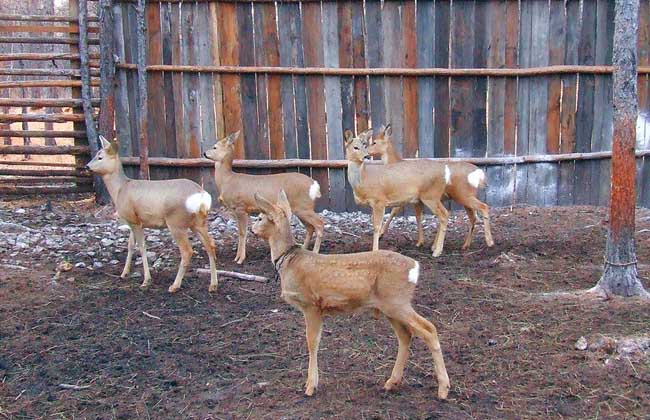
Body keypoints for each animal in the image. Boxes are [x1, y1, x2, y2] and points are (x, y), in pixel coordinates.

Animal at [86, 136, 219, 294]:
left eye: (100, 157)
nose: (87, 166)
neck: (120, 189)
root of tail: (202, 196)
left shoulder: (135, 222)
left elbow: (142, 248)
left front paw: (146, 281)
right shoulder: (133, 220)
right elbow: (130, 245)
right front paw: (124, 273)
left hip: (176, 222)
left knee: (187, 251)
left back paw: (174, 285)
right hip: (198, 222)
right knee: (210, 244)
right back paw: (213, 285)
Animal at [204, 131, 322, 262]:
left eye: (215, 147)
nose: (204, 153)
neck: (227, 180)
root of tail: (314, 185)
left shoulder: (240, 207)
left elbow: (242, 233)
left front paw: (240, 259)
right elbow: (241, 232)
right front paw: (237, 257)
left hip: (304, 206)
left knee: (319, 224)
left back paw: (315, 251)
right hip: (300, 208)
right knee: (310, 227)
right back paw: (304, 248)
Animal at [251, 190, 448, 400]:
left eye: (260, 217)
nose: (252, 229)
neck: (289, 262)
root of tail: (415, 267)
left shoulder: (311, 304)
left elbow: (312, 341)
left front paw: (310, 386)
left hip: (397, 301)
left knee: (428, 329)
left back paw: (443, 388)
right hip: (389, 306)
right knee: (406, 335)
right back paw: (391, 383)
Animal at [368, 124, 494, 253]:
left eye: (374, 142)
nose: (367, 154)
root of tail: (479, 174)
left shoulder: (405, 196)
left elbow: (396, 212)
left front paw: (382, 234)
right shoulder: (415, 199)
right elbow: (418, 216)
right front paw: (422, 242)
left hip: (462, 194)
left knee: (482, 207)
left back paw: (489, 242)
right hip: (464, 196)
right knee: (472, 217)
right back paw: (464, 245)